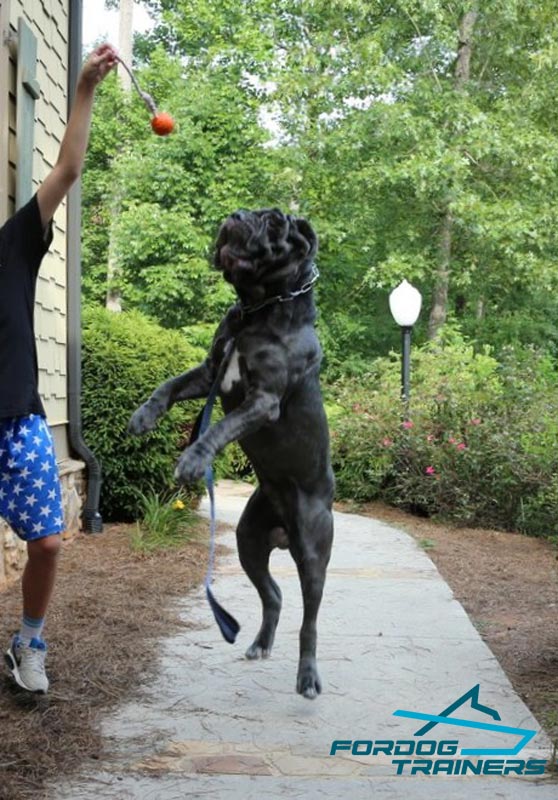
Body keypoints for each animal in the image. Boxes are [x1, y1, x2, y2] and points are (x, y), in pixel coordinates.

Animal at [129, 208, 334, 700]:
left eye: (275, 222)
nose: (237, 216)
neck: (258, 312)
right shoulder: (209, 372)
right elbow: (168, 386)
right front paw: (144, 416)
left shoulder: (262, 401)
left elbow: (220, 427)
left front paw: (192, 459)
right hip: (247, 542)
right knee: (274, 594)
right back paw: (259, 644)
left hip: (313, 551)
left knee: (310, 620)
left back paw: (307, 677)